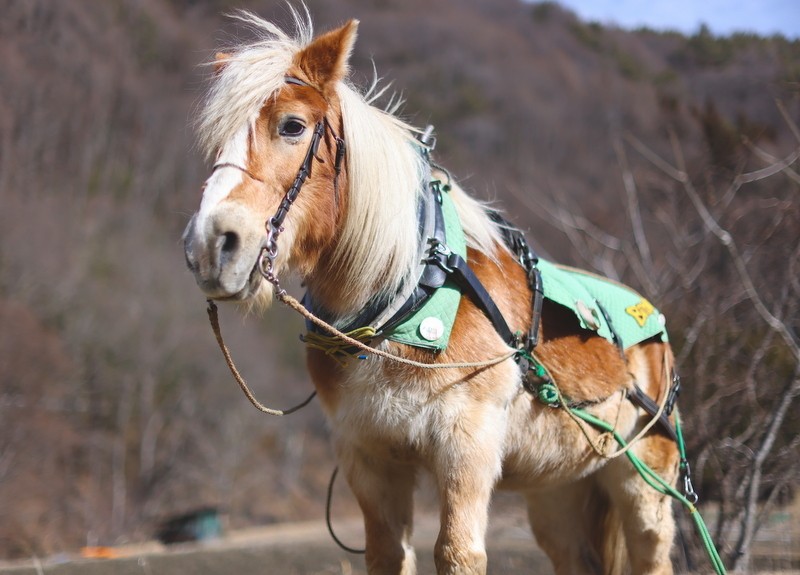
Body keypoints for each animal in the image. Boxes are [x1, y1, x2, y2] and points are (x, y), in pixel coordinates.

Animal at [183, 11, 681, 574]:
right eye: (215, 139)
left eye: (292, 126)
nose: (210, 245)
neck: (403, 302)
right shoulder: (368, 456)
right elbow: (386, 552)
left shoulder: (468, 444)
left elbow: (457, 550)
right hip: (557, 491)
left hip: (644, 481)